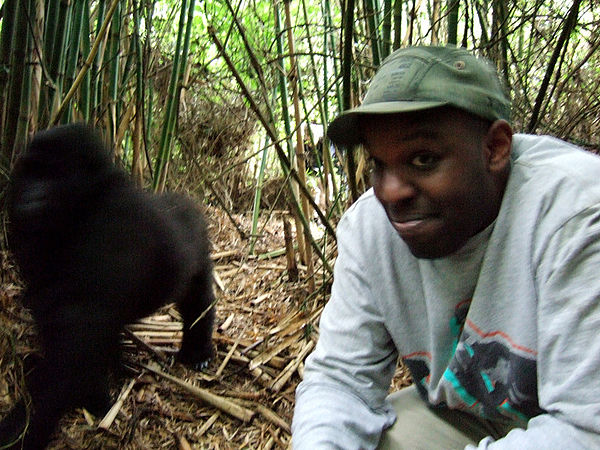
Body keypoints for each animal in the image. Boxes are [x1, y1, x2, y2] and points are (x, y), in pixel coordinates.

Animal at [0, 124, 216, 450]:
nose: (29, 195)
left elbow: (75, 339)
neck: (86, 200)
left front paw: (27, 426)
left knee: (198, 301)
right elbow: (59, 321)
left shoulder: (110, 226)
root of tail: (189, 203)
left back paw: (198, 351)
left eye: (52, 174)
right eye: (31, 172)